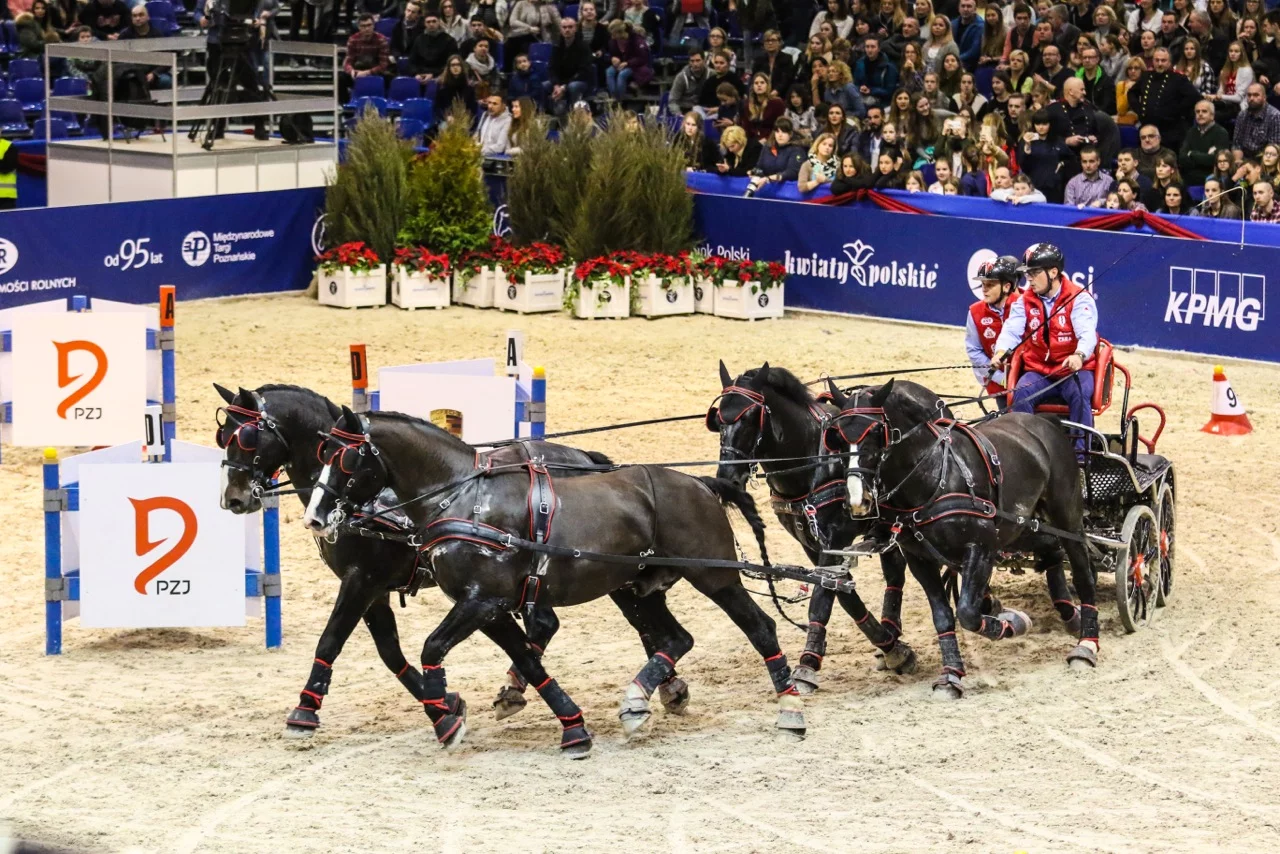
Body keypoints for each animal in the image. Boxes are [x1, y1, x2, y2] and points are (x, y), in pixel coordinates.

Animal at [212, 384, 670, 737]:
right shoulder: (376, 588)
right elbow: (389, 652)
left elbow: (331, 640)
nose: (233, 499)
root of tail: (585, 458)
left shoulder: (363, 578)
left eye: (245, 438)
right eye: (224, 436)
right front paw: (445, 702)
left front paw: (305, 711)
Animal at [303, 407, 803, 752]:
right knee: (675, 639)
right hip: (635, 589)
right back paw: (638, 702)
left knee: (760, 628)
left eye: (347, 459)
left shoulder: (477, 600)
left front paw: (446, 717)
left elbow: (431, 648)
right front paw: (571, 727)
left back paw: (791, 707)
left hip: (715, 578)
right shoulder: (489, 606)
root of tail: (699, 483)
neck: (463, 499)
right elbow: (527, 660)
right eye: (321, 453)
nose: (315, 517)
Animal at [711, 363, 921, 691]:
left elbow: (822, 598)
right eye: (718, 418)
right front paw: (891, 647)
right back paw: (891, 629)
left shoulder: (835, 537)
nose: (728, 480)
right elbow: (845, 596)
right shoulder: (810, 543)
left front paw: (807, 663)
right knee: (894, 570)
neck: (812, 459)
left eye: (751, 416)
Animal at [824, 376, 1095, 696]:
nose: (858, 499)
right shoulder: (920, 560)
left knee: (1082, 570)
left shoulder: (981, 548)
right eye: (837, 437)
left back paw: (1087, 644)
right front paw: (951, 675)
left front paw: (1013, 624)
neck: (934, 476)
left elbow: (967, 612)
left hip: (1068, 520)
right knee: (1052, 549)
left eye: (877, 432)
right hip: (1018, 527)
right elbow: (943, 616)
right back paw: (1070, 615)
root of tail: (1046, 423)